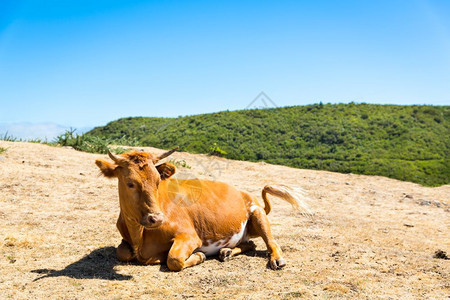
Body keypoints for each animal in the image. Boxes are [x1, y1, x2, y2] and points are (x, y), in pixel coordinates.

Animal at [96, 148, 310, 272]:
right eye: (130, 183)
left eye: (158, 181)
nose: (156, 218)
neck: (139, 234)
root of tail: (243, 192)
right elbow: (121, 252)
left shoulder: (189, 235)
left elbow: (173, 260)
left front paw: (198, 256)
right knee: (250, 244)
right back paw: (226, 252)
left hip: (258, 214)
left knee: (271, 242)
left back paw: (276, 259)